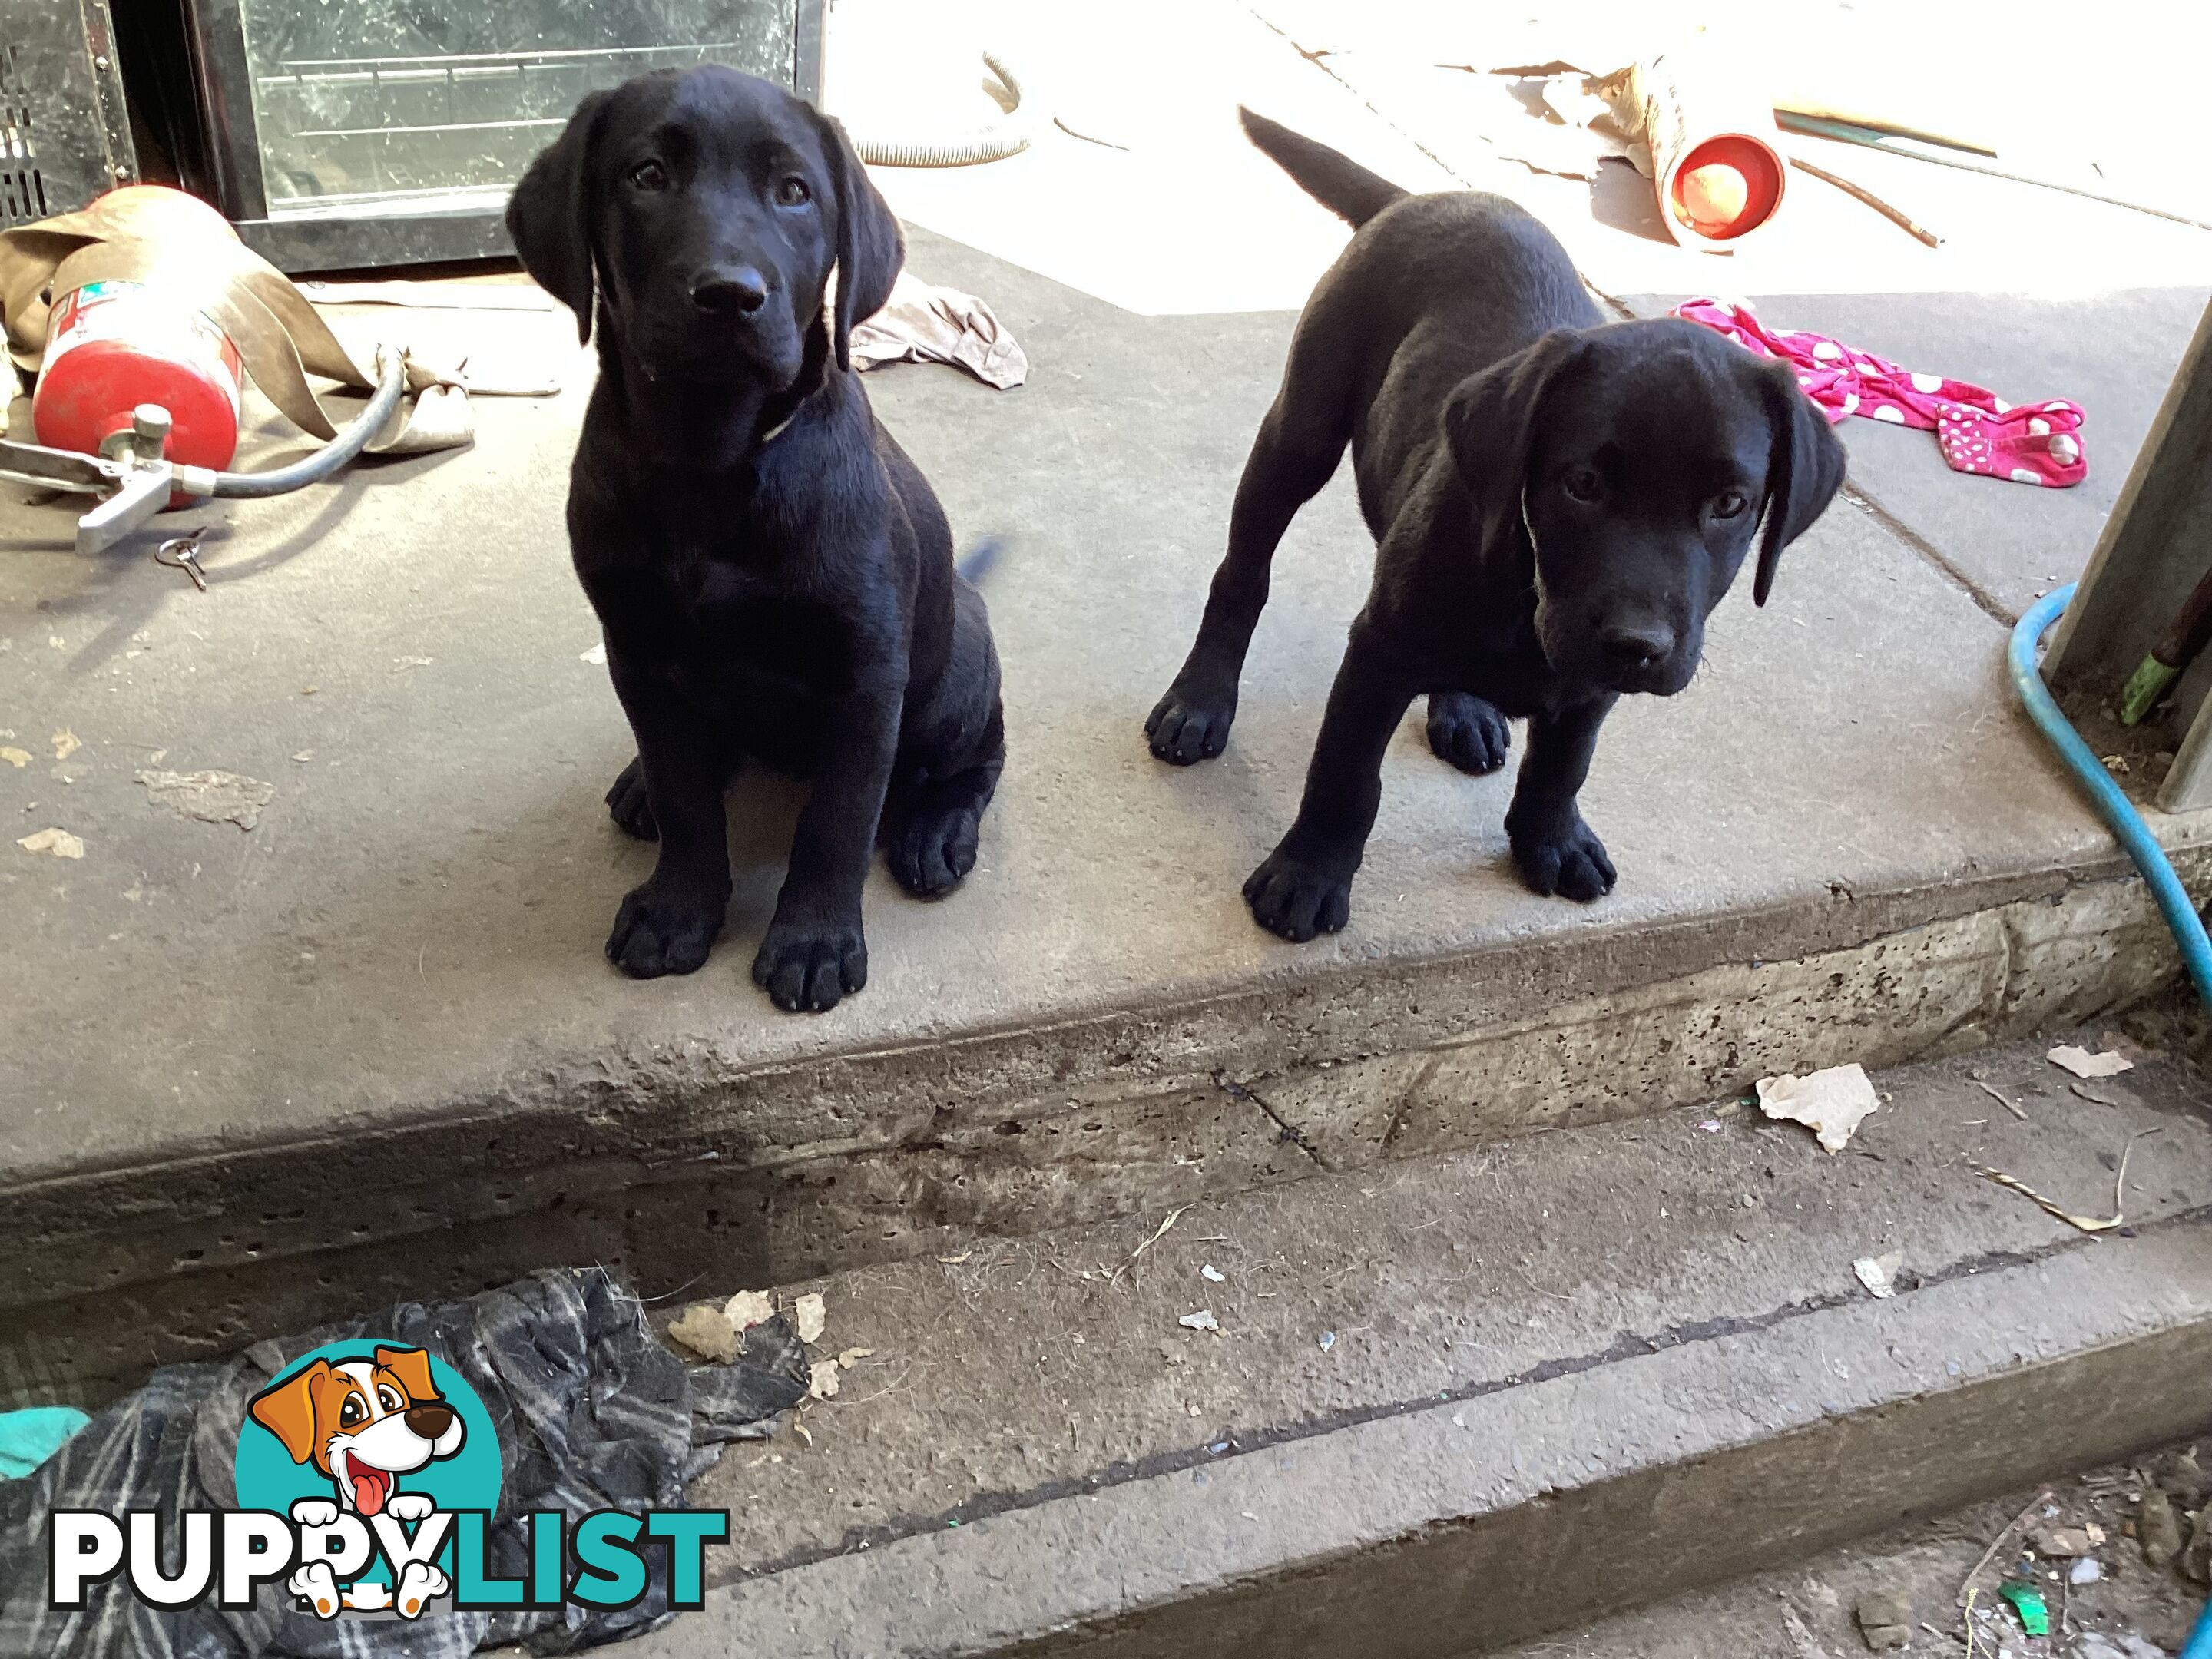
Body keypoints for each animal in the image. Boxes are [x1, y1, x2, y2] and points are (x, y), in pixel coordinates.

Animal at [508, 68, 1004, 1013]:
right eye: (647, 176)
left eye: (795, 192)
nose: (728, 295)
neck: (712, 464)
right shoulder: (636, 648)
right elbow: (685, 794)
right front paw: (678, 908)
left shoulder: (866, 674)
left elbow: (838, 818)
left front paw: (812, 940)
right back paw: (639, 786)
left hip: (954, 677)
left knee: (978, 756)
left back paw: (937, 828)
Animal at [1141, 115, 1849, 942]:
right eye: (1583, 485)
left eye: (1731, 504)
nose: (1637, 644)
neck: (1528, 591)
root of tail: (1420, 198)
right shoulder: (1379, 650)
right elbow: (1345, 775)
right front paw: (1307, 875)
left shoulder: (1590, 682)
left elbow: (1565, 761)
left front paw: (1552, 839)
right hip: (1300, 432)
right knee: (1242, 575)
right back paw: (1200, 699)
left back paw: (1466, 710)